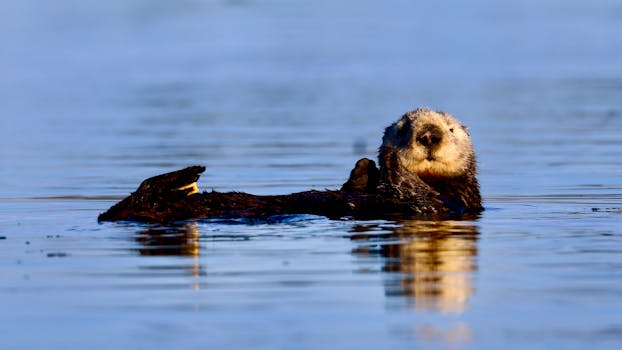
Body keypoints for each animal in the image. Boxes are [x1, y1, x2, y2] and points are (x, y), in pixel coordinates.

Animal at [100, 108, 486, 223]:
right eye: (405, 127)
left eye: (450, 129)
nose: (429, 135)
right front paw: (365, 166)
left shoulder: (452, 202)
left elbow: (419, 198)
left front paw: (388, 162)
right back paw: (187, 175)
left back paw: (187, 176)